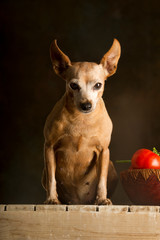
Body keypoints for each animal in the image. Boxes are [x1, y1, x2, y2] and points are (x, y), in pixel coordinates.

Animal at [42, 39, 120, 204]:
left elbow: (102, 180)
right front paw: (52, 199)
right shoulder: (49, 148)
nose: (86, 105)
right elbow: (52, 179)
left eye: (98, 85)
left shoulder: (104, 151)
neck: (81, 120)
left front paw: (102, 199)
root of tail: (77, 202)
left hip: (110, 165)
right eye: (73, 85)